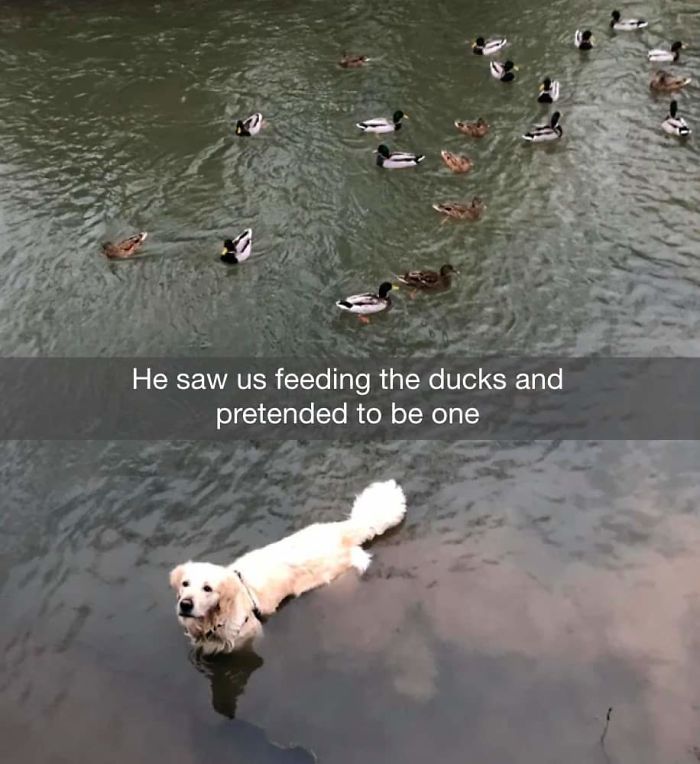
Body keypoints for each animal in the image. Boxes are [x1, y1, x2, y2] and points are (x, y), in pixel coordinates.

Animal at [169, 480, 404, 652]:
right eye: (185, 584)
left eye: (207, 588)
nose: (185, 604)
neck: (214, 620)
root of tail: (343, 530)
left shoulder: (249, 636)